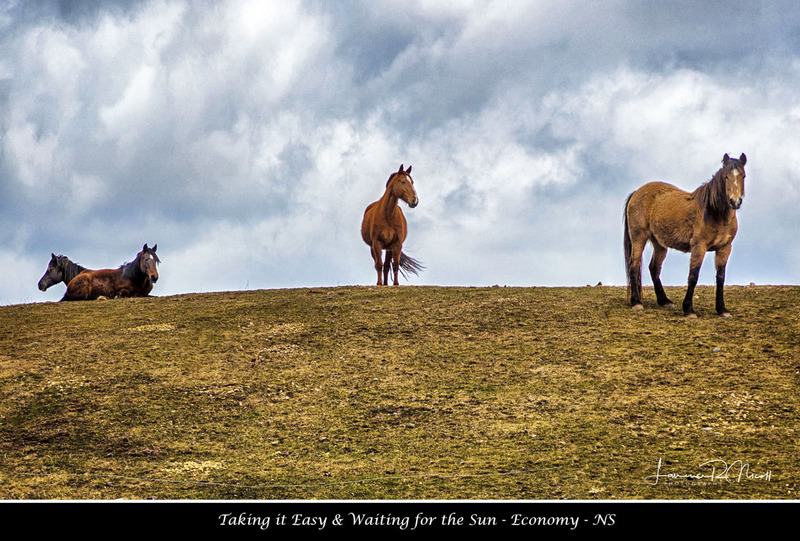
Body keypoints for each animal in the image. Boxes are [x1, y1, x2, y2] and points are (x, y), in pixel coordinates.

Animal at [624, 153, 746, 317]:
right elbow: (693, 276)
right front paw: (689, 309)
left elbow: (720, 278)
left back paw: (664, 301)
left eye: (743, 176)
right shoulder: (698, 247)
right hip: (639, 238)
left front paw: (722, 309)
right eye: (726, 177)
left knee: (654, 268)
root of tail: (637, 192)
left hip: (660, 244)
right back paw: (636, 302)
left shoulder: (724, 248)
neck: (714, 213)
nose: (735, 202)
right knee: (634, 265)